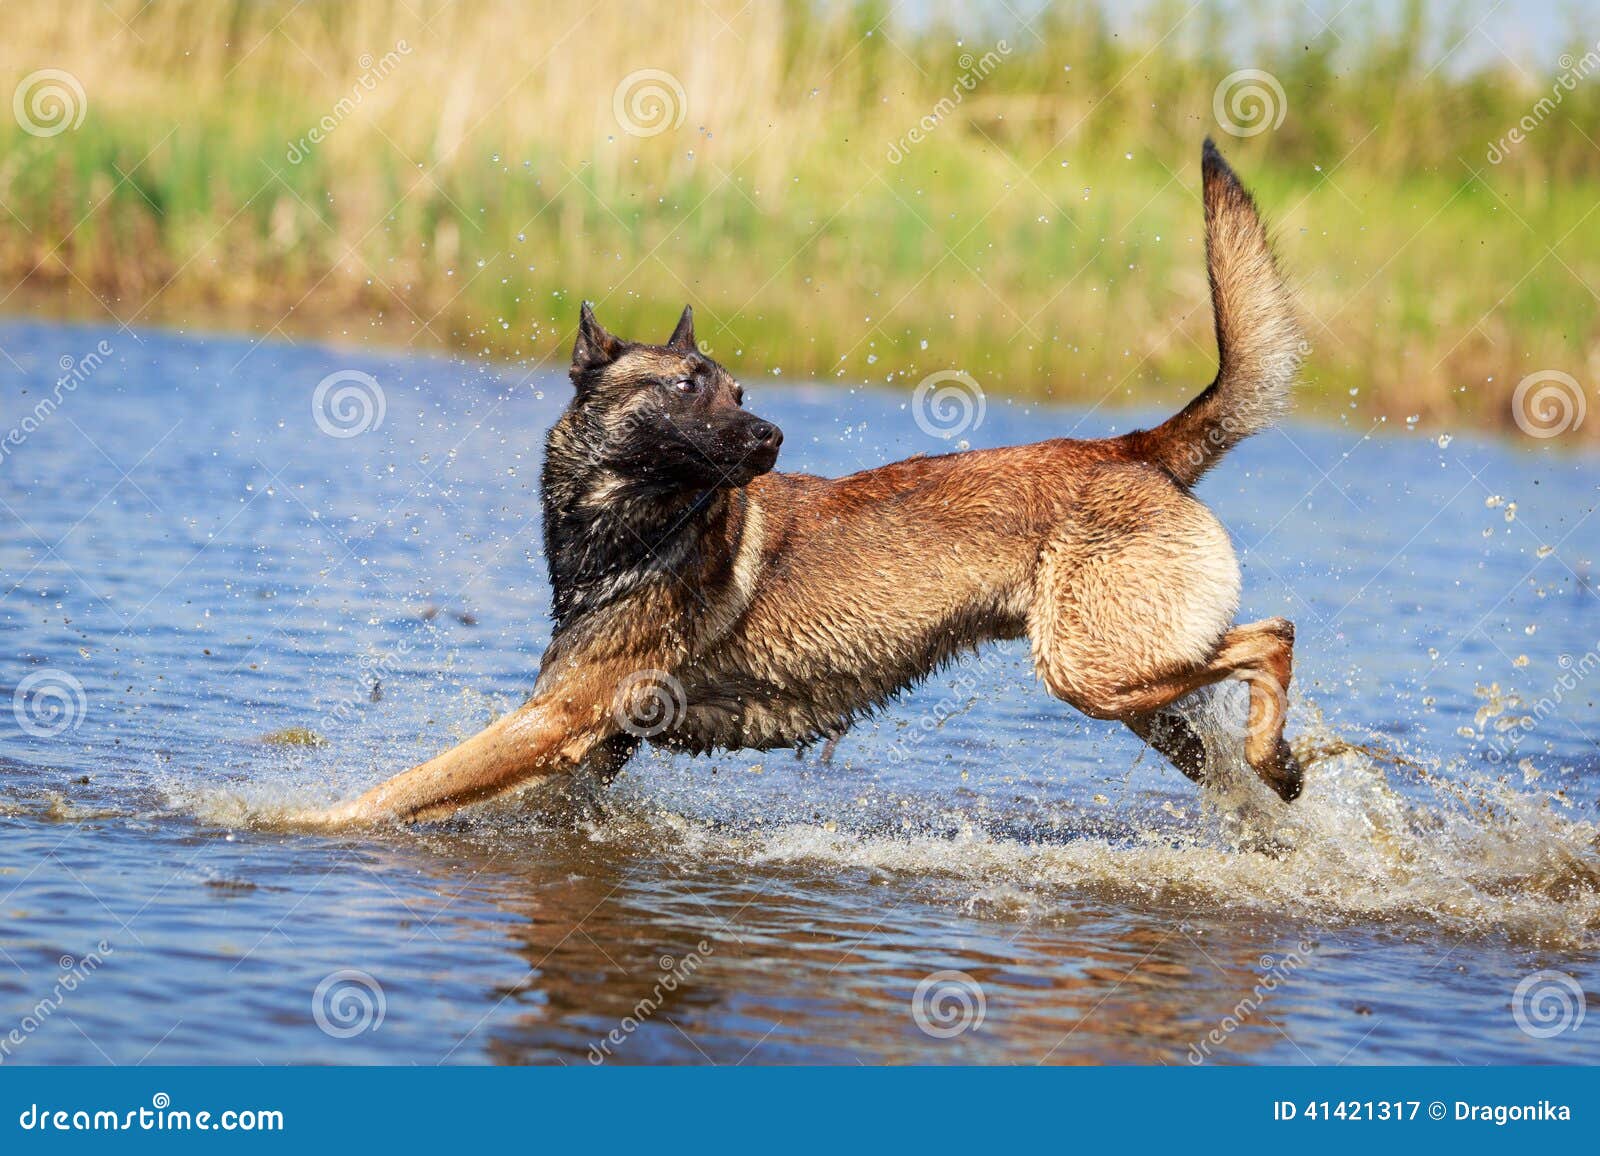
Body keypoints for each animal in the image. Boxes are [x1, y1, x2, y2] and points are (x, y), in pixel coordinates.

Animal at [305, 139, 1305, 826]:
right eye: (686, 388)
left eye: (738, 392)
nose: (772, 435)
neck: (634, 530)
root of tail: (1135, 447)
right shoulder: (592, 743)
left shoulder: (557, 719)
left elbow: (403, 786)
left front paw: (302, 823)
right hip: (1139, 692)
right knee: (1237, 734)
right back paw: (1283, 780)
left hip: (1091, 669)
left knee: (1274, 636)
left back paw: (1276, 750)